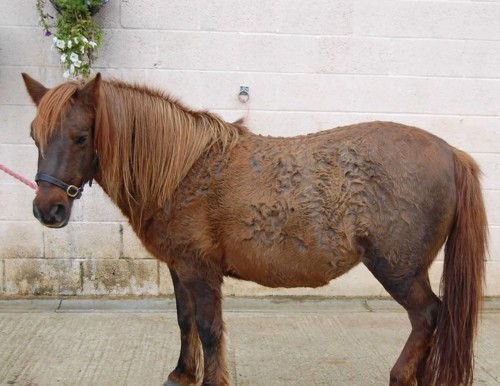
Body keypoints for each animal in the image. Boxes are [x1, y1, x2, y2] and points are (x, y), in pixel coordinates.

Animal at [21, 73, 486, 386]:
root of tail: (450, 152)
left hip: (398, 270)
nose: (48, 210)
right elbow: (185, 321)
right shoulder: (179, 269)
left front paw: (211, 379)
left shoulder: (200, 271)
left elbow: (210, 329)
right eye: (33, 135)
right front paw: (182, 373)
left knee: (427, 316)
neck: (182, 170)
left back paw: (400, 375)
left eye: (81, 137)